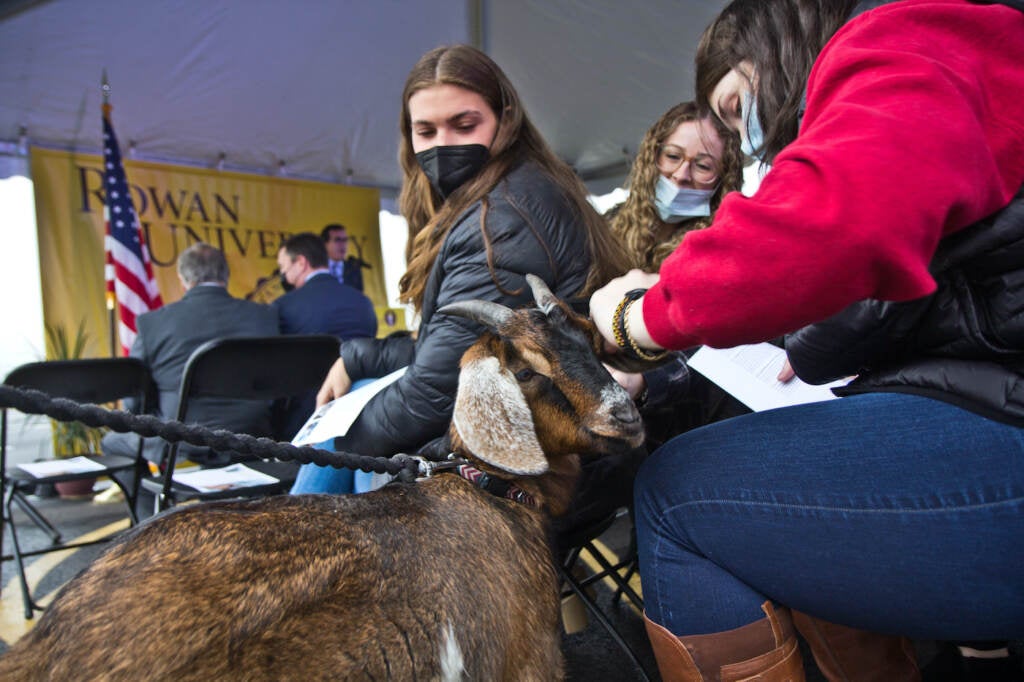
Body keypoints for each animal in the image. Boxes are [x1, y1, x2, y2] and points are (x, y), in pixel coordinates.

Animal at [0, 272, 638, 679]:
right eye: (526, 371)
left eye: (589, 337)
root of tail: (40, 650)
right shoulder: (527, 665)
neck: (486, 488)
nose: (627, 415)